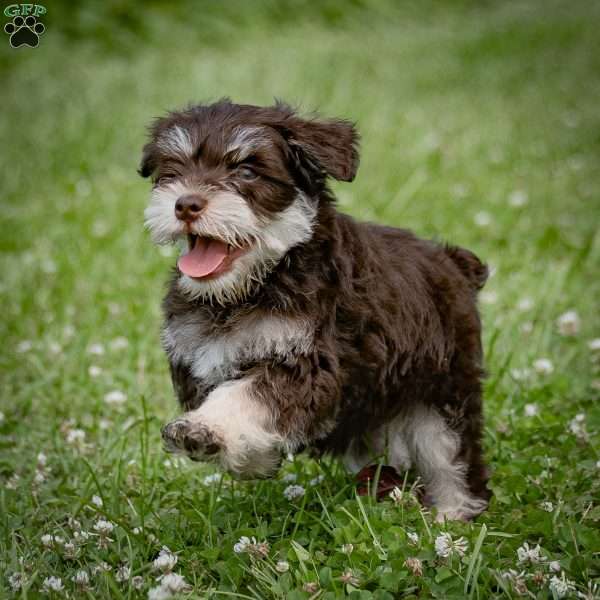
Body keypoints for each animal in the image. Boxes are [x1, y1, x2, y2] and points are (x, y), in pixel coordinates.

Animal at [141, 98, 492, 520]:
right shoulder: (201, 358)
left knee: (452, 458)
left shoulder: (308, 365)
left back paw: (450, 517)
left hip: (443, 392)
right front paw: (246, 456)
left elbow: (246, 395)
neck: (257, 283)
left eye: (247, 170)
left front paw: (204, 430)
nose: (186, 204)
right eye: (173, 171)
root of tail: (453, 263)